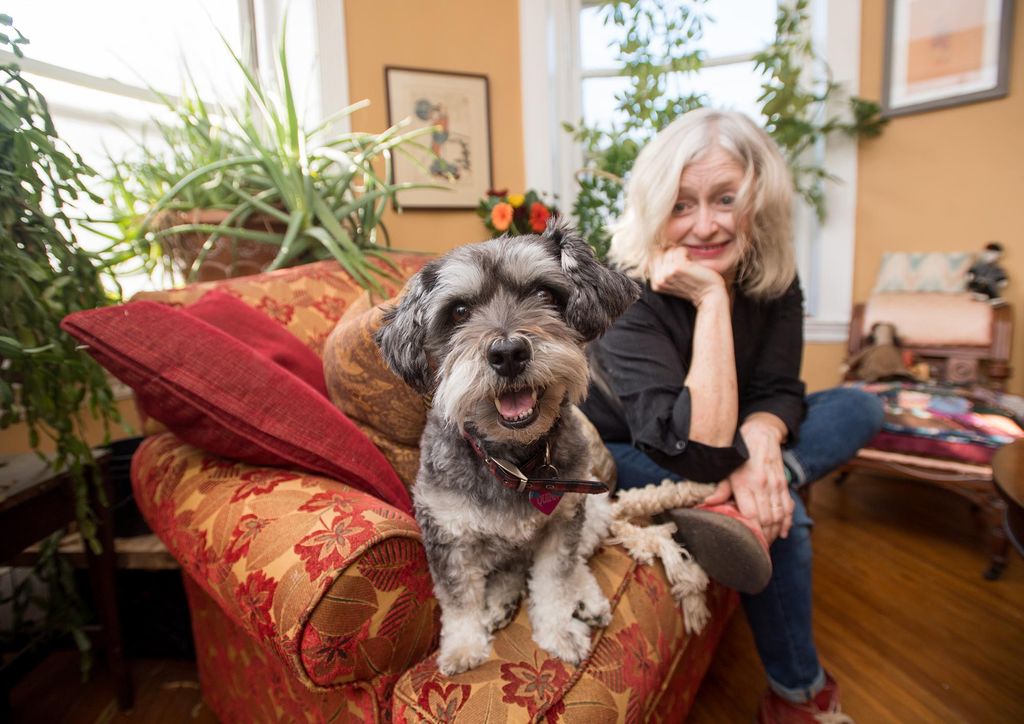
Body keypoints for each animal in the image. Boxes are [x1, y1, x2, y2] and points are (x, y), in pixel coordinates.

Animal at [376, 223, 638, 675]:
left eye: (545, 294)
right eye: (459, 312)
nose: (509, 353)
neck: (514, 463)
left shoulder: (563, 522)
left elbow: (555, 581)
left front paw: (560, 632)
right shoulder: (448, 535)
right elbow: (459, 597)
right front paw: (463, 647)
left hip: (592, 510)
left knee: (577, 563)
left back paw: (585, 599)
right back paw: (498, 601)